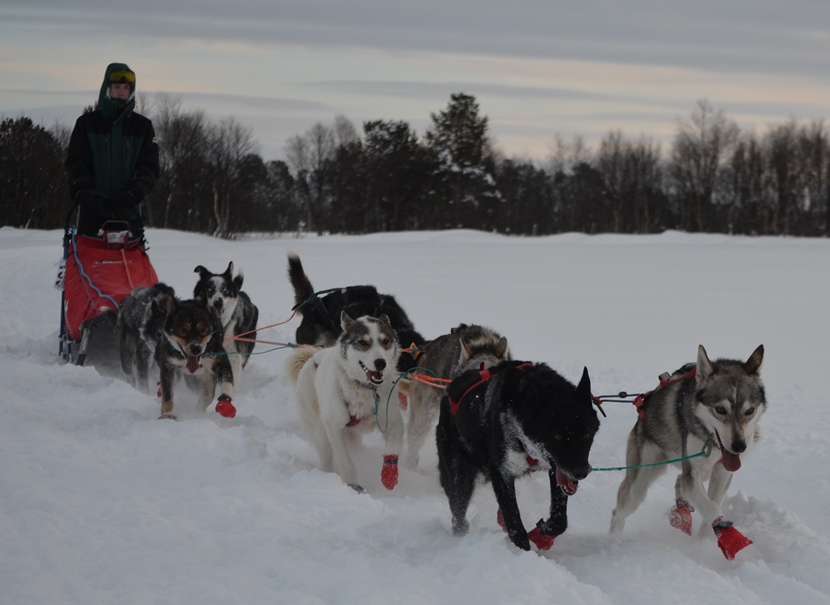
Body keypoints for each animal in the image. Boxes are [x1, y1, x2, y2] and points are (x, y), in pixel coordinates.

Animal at [286, 311, 404, 492]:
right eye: (363, 342)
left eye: (385, 341)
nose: (381, 363)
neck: (364, 389)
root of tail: (311, 358)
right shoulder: (335, 427)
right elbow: (345, 460)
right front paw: (352, 484)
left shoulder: (392, 421)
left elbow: (393, 447)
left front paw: (389, 476)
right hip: (322, 432)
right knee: (327, 456)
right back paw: (327, 475)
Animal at [436, 360, 599, 551]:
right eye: (557, 436)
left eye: (587, 435)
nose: (580, 472)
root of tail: (450, 388)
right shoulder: (501, 472)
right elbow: (514, 522)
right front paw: (522, 550)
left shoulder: (555, 471)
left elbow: (559, 521)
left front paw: (543, 534)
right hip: (459, 477)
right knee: (458, 512)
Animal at [609, 344, 765, 560]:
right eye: (720, 409)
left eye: (749, 411)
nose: (739, 446)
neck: (711, 439)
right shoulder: (693, 473)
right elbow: (709, 506)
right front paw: (728, 536)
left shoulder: (722, 473)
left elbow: (712, 505)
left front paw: (705, 542)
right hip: (638, 485)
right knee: (618, 513)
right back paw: (614, 541)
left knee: (679, 480)